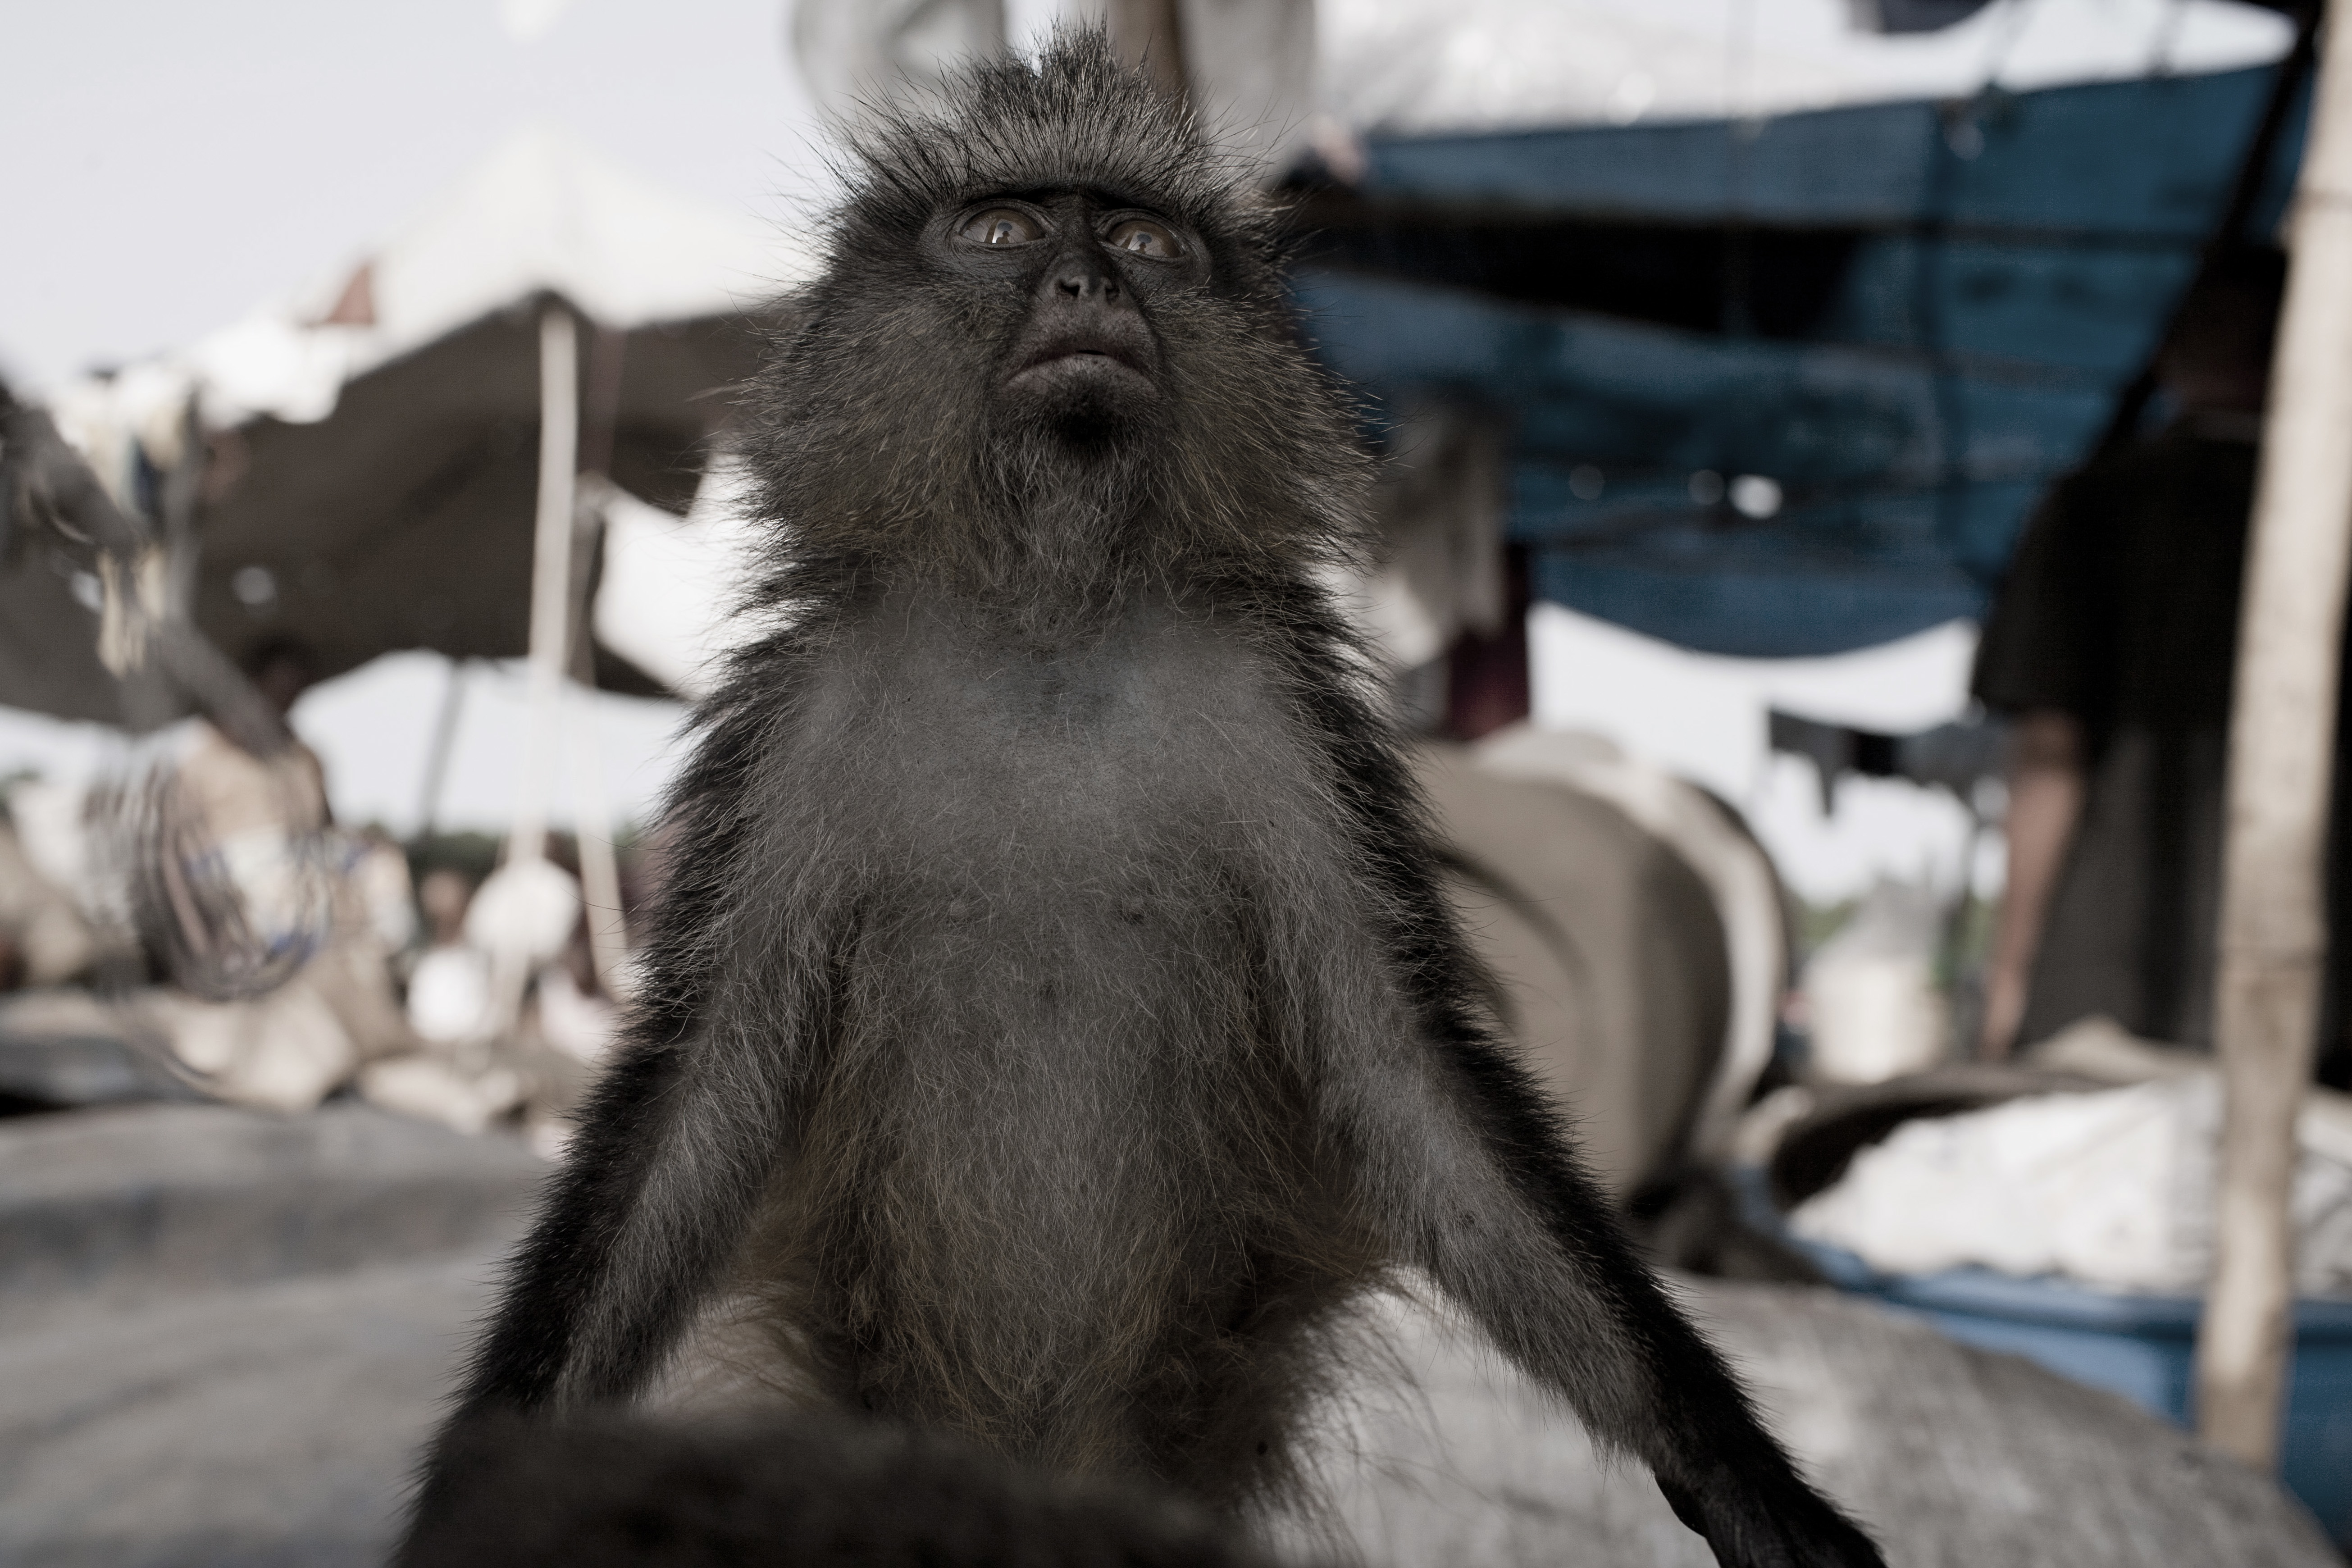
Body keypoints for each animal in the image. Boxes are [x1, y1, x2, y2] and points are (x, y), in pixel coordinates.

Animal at [407, 31, 1883, 1568]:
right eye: (1002, 232)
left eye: (1140, 240)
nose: (1089, 289)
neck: (1051, 628)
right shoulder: (798, 722)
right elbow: (709, 1083)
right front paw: (484, 1478)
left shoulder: (1284, 716)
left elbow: (1399, 1069)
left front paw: (1731, 1465)